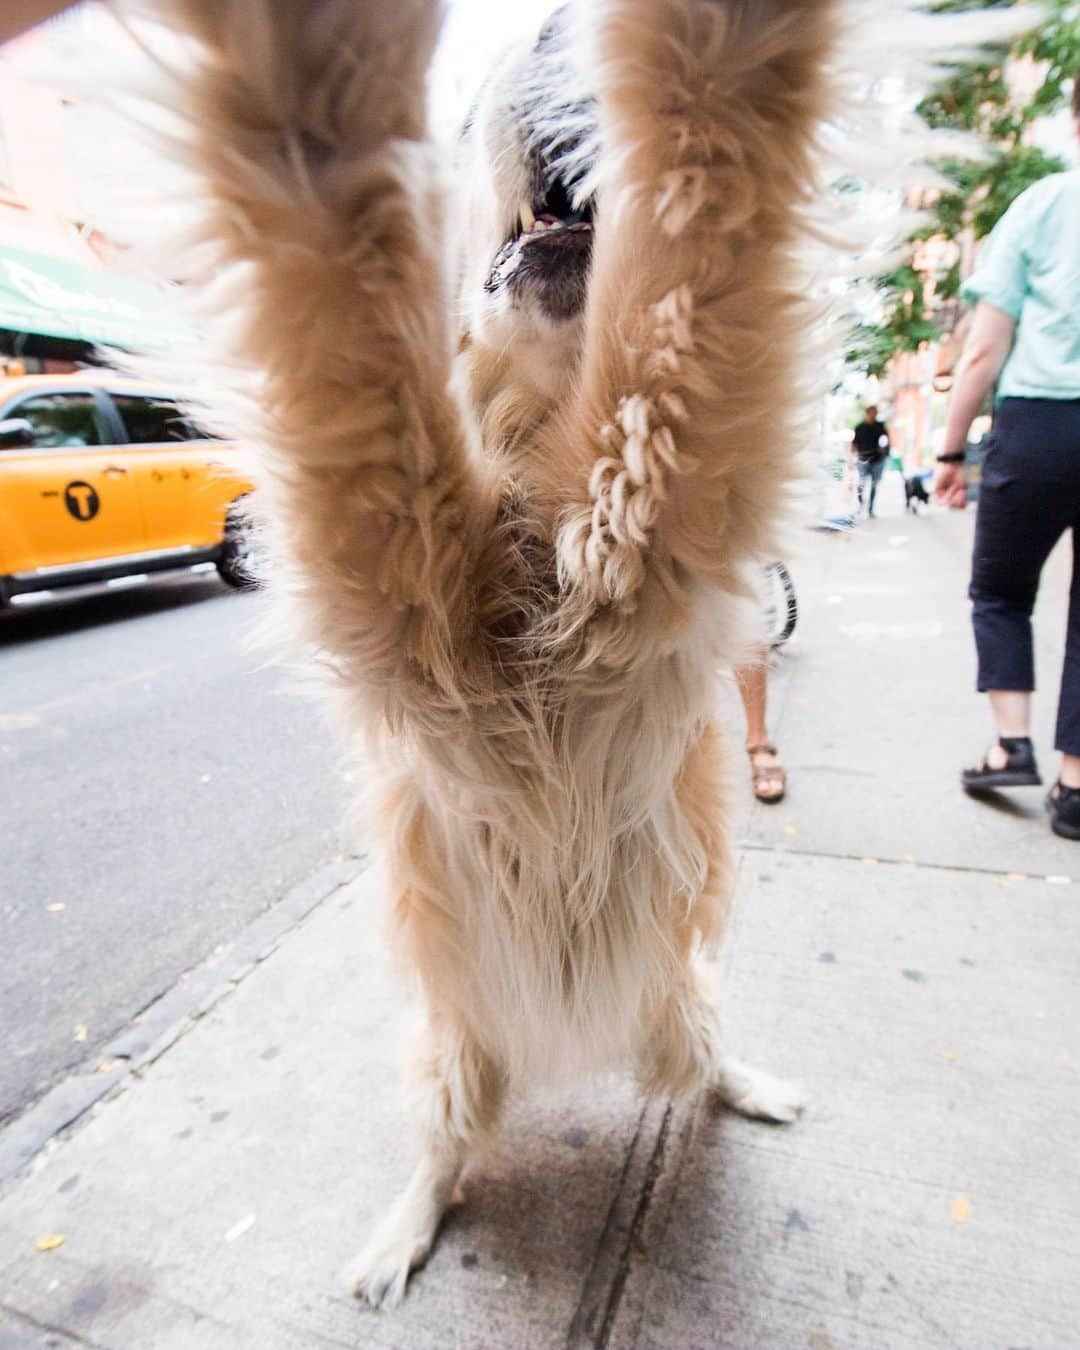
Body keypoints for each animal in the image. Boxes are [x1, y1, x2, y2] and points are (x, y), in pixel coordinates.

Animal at [112, 0, 1015, 1306]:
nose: (547, 37)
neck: (535, 493)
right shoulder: (388, 535)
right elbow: (336, 272)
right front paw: (315, 67)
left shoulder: (656, 481)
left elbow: (707, 178)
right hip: (447, 1051)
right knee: (446, 1156)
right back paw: (401, 1234)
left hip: (679, 996)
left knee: (700, 1067)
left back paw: (752, 1090)